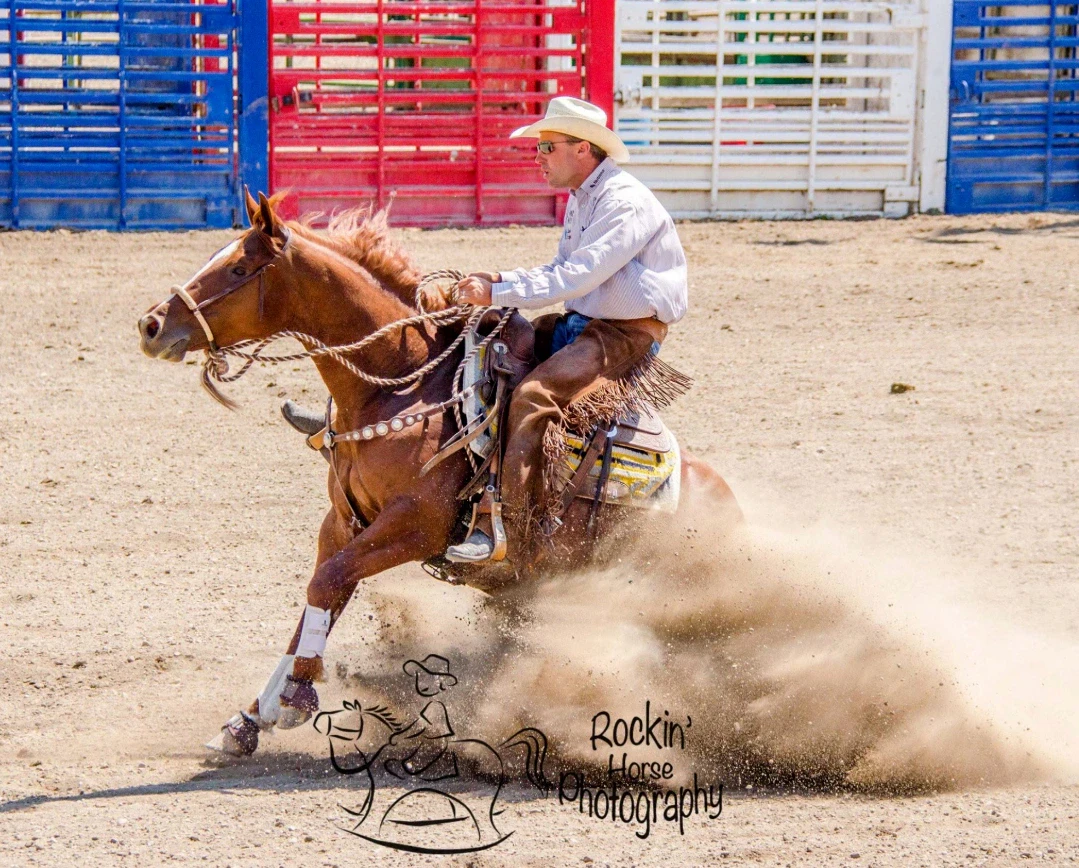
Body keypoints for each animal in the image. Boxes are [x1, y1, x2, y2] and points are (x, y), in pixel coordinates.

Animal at [137, 190, 742, 756]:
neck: (401, 384)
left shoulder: (416, 526)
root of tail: (728, 503)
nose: (151, 324)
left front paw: (297, 696)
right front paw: (249, 719)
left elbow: (329, 580)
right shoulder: (344, 521)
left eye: (239, 269)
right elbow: (322, 593)